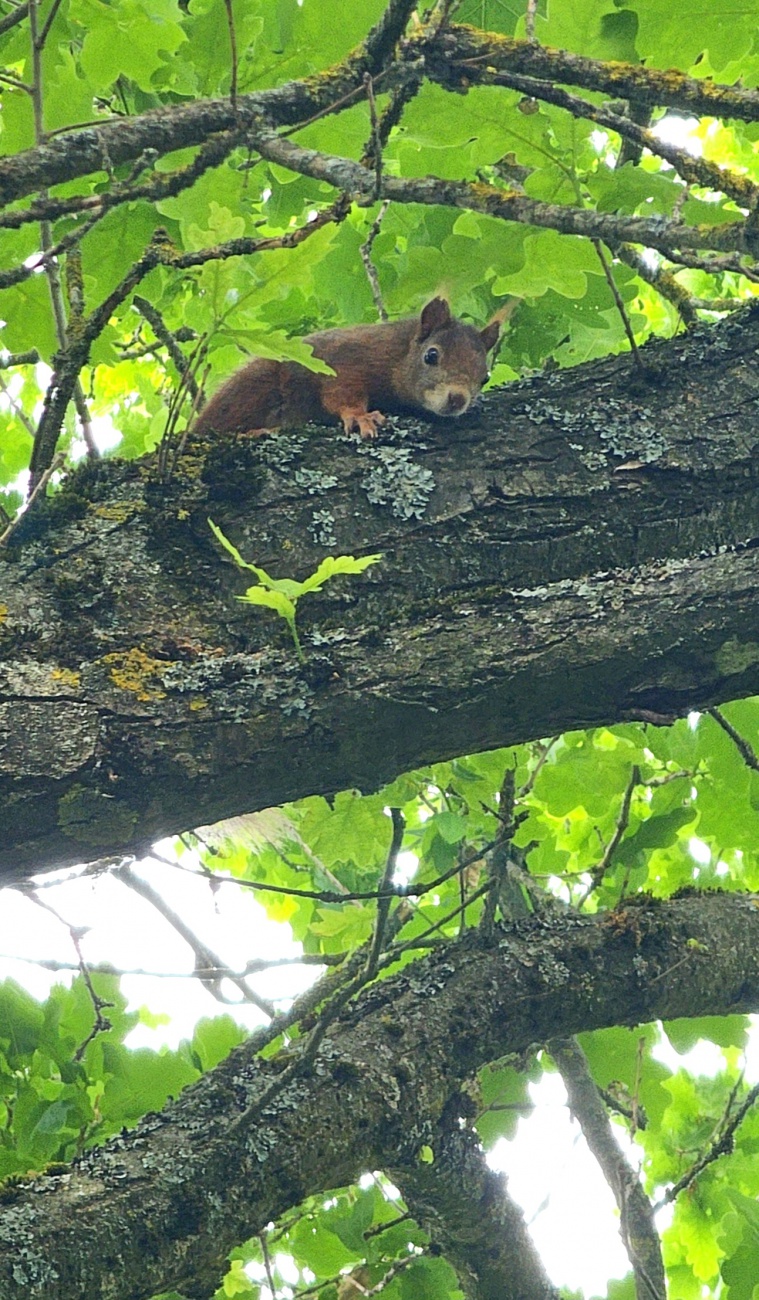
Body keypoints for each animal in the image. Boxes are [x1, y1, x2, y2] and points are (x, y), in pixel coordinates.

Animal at [192, 297, 502, 442]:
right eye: (431, 355)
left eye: (484, 377)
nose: (457, 399)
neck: (397, 353)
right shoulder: (345, 360)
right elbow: (342, 394)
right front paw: (360, 416)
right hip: (253, 387)